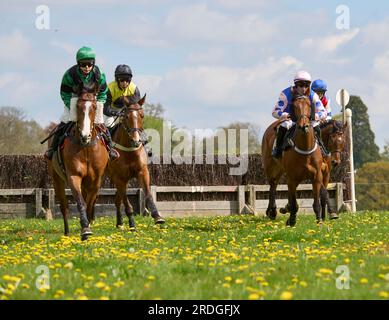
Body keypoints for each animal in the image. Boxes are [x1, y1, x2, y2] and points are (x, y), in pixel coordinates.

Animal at [47, 85, 107, 240]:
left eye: (94, 107)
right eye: (78, 106)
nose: (85, 135)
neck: (86, 147)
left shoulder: (96, 180)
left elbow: (89, 203)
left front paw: (88, 224)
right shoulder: (73, 176)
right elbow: (81, 202)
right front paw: (85, 229)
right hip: (56, 179)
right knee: (64, 206)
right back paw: (67, 233)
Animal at [106, 93, 165, 230]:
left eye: (142, 115)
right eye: (126, 116)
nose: (136, 141)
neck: (129, 150)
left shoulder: (142, 172)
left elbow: (148, 194)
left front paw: (157, 216)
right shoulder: (119, 178)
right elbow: (126, 201)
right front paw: (132, 223)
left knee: (117, 199)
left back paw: (119, 223)